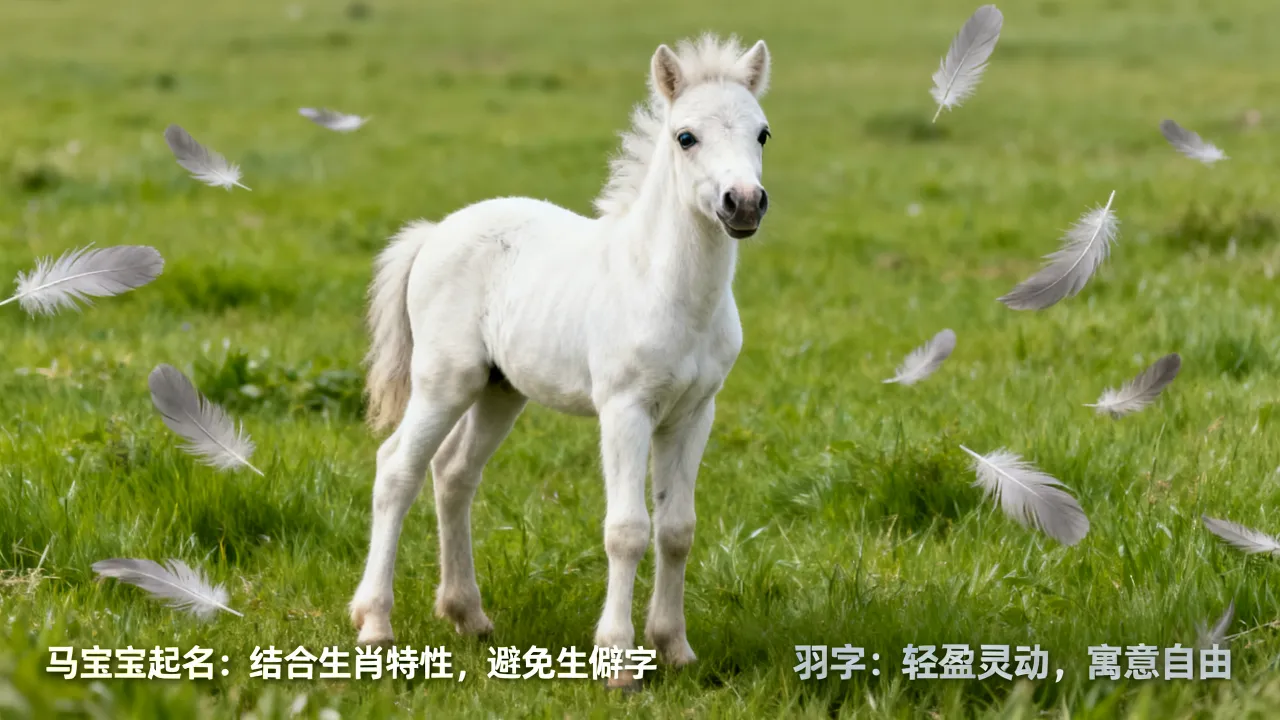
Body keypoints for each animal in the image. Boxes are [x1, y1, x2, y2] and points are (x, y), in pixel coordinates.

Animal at [348, 33, 773, 673]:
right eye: (686, 136)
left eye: (762, 133)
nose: (743, 203)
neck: (665, 287)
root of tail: (434, 232)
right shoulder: (625, 409)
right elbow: (627, 528)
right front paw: (618, 659)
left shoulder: (694, 413)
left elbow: (677, 528)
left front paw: (675, 648)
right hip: (445, 381)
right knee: (398, 469)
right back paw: (375, 624)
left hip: (499, 390)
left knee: (453, 472)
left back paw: (468, 616)